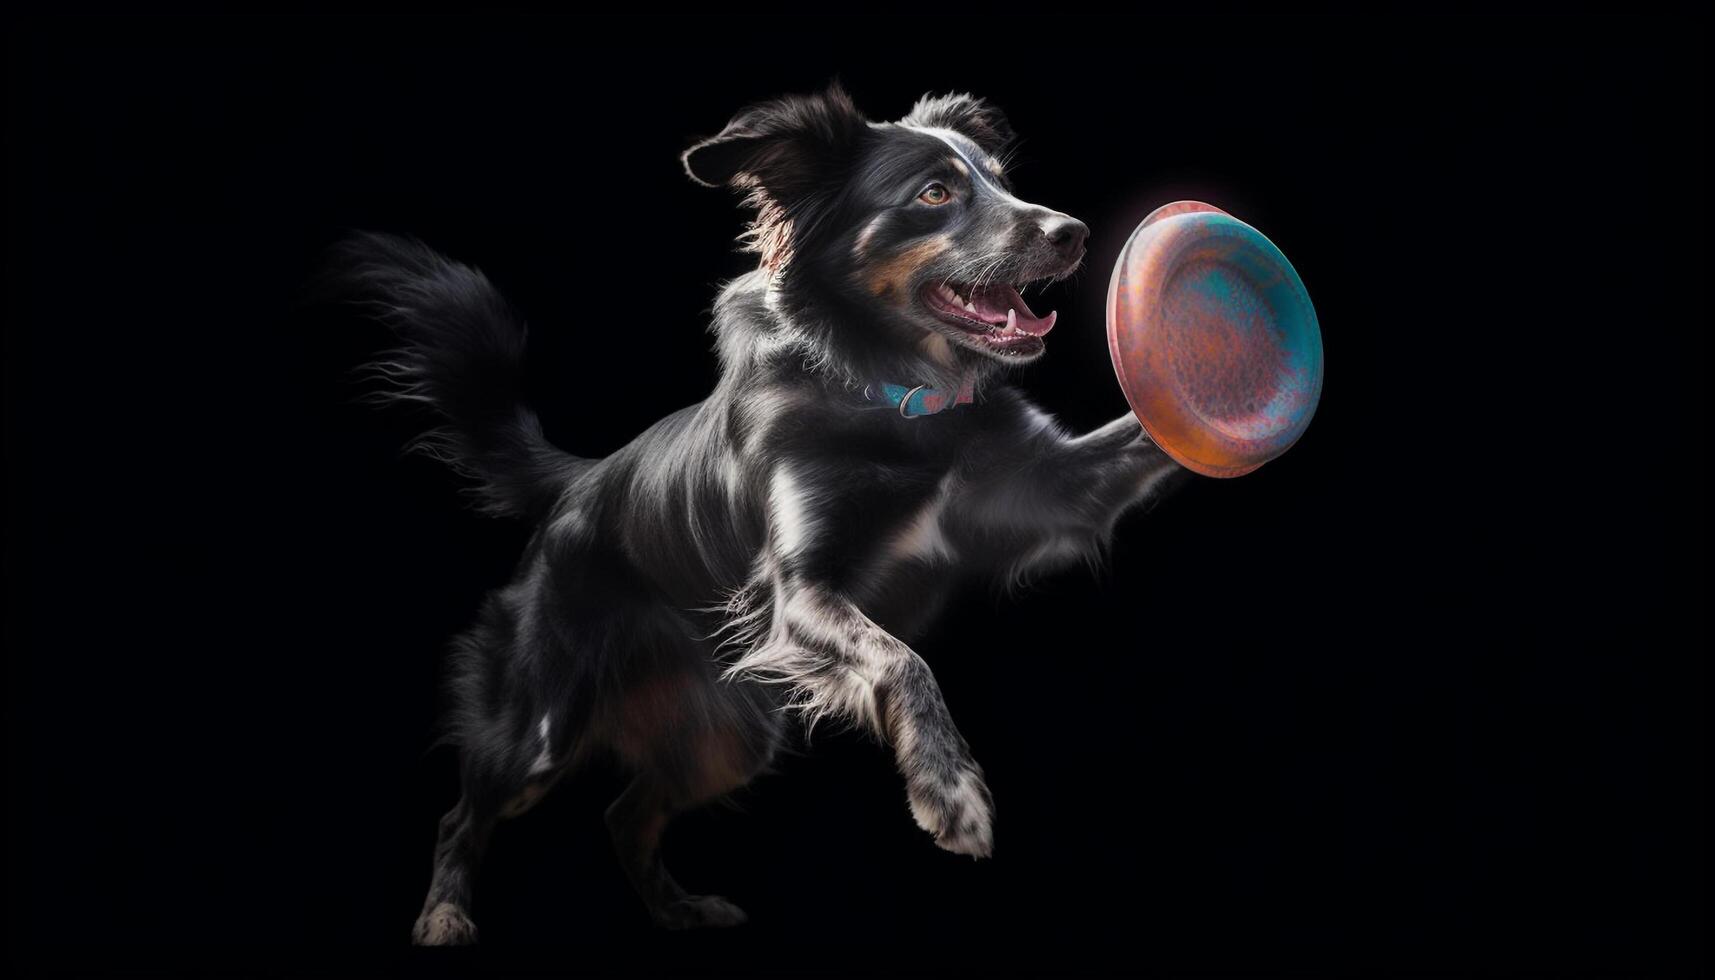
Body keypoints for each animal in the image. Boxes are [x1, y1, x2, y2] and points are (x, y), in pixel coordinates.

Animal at [339, 88, 1186, 947]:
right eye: (934, 193)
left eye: (1002, 181)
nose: (1072, 232)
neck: (895, 396)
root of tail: (580, 483)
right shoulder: (799, 596)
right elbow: (903, 662)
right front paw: (950, 796)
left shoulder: (1051, 490)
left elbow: (1139, 437)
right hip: (539, 728)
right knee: (463, 814)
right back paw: (444, 914)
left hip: (730, 733)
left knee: (625, 814)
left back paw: (678, 909)